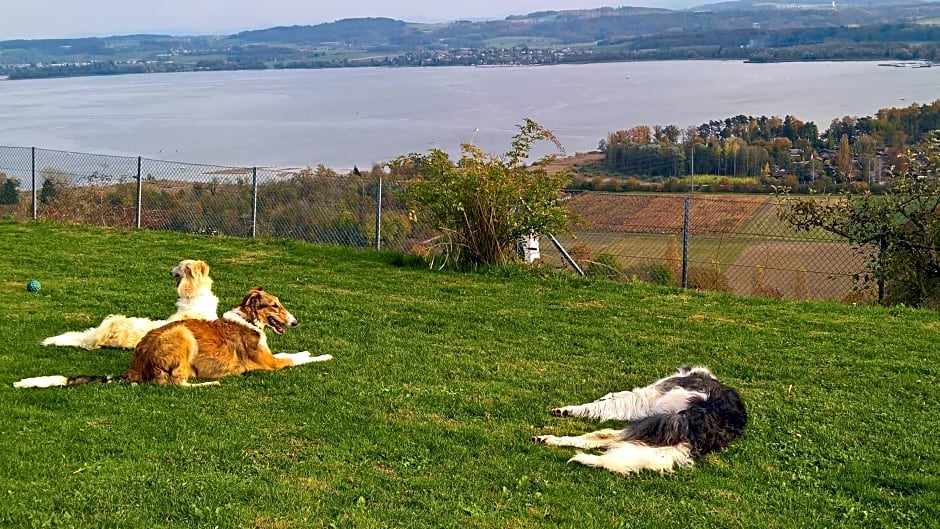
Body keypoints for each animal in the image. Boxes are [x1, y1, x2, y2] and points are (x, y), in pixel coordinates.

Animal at [13, 284, 330, 388]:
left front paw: (310, 350)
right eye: (275, 305)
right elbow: (296, 358)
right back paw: (211, 382)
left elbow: (294, 353)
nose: (295, 322)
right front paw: (324, 354)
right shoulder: (269, 364)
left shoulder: (270, 357)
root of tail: (135, 365)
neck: (248, 319)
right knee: (175, 384)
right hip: (182, 334)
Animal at [532, 368, 744, 474]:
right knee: (608, 438)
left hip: (660, 419)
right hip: (662, 428)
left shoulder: (646, 398)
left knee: (605, 434)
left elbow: (607, 402)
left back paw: (548, 438)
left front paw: (565, 410)